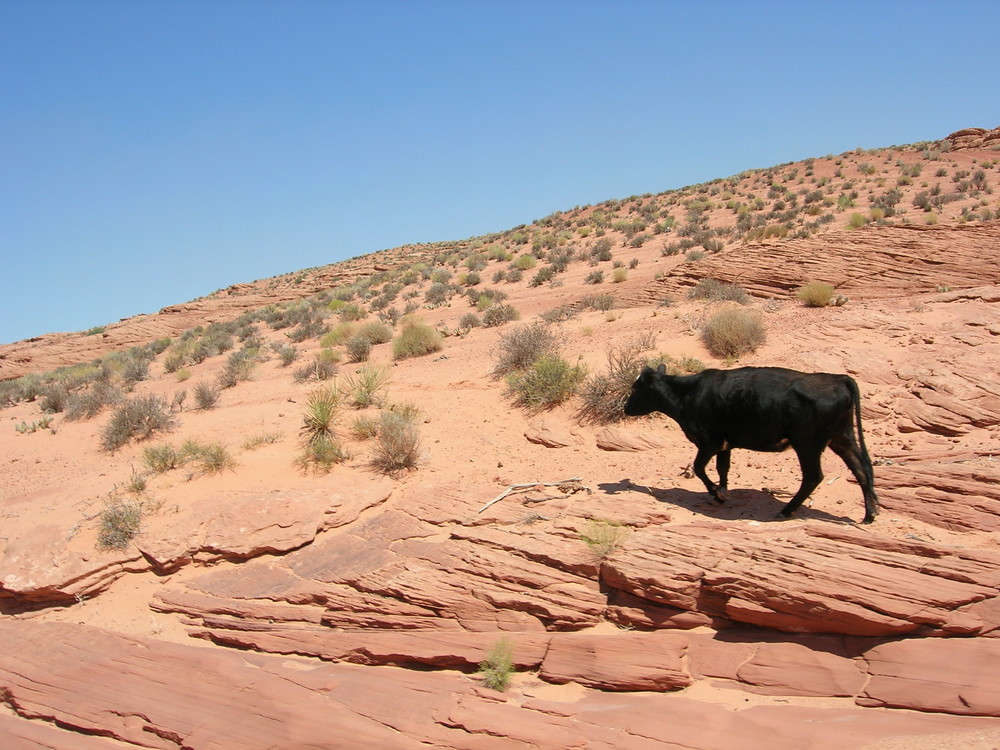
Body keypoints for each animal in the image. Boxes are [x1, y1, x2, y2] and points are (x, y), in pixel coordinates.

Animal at [624, 368, 884, 524]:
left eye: (636, 388)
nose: (625, 407)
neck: (687, 395)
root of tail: (838, 378)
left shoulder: (708, 443)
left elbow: (699, 469)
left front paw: (716, 493)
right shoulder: (725, 445)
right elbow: (722, 469)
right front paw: (722, 491)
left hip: (807, 443)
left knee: (813, 476)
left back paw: (786, 510)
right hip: (842, 437)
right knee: (861, 469)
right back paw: (870, 513)